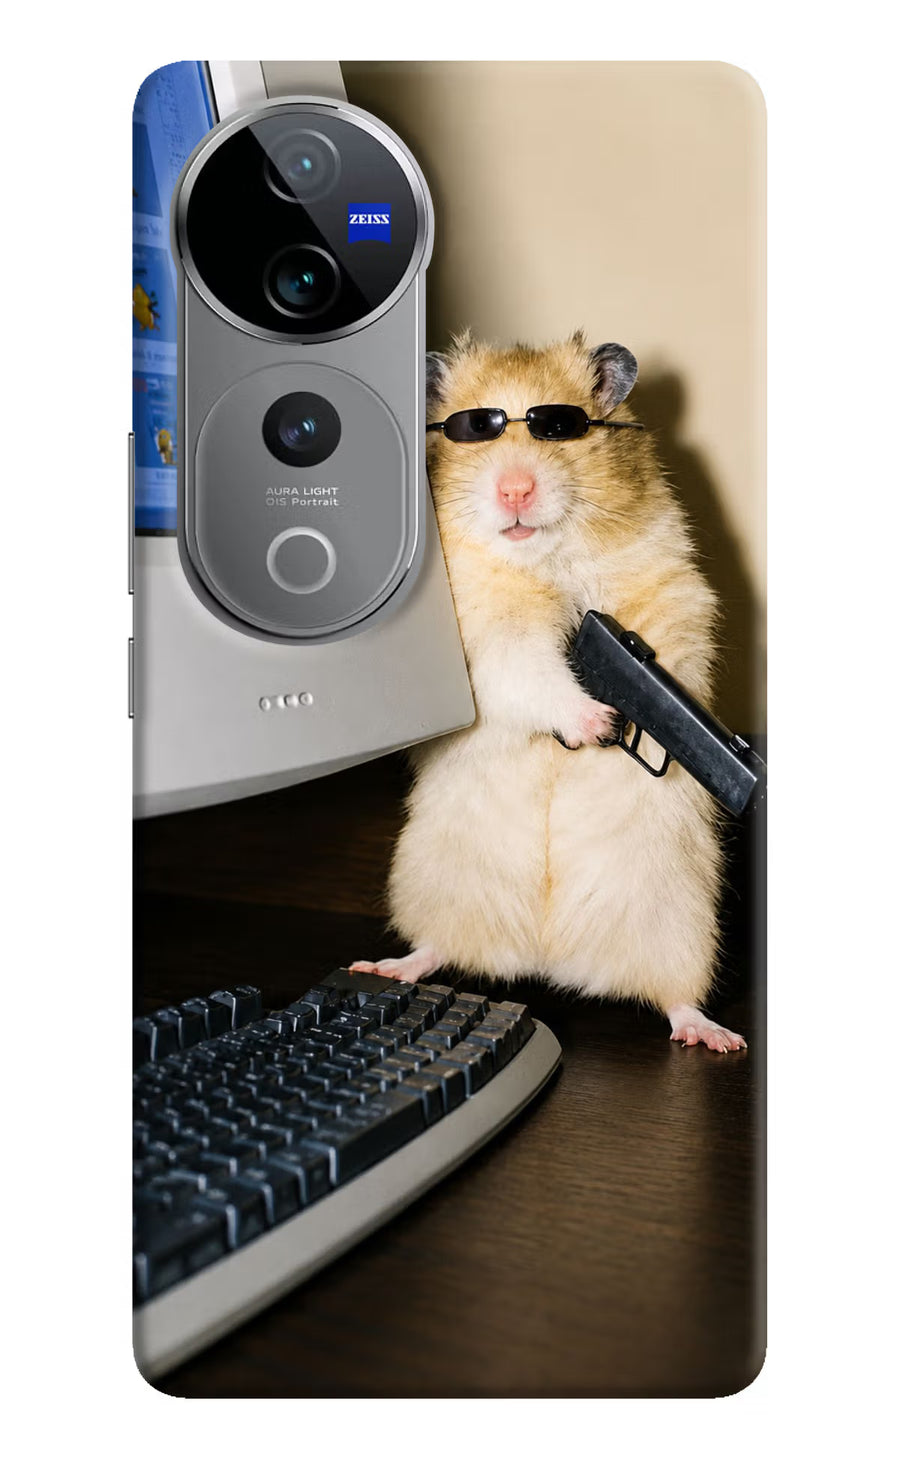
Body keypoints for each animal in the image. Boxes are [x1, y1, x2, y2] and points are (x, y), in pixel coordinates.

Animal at [351, 332, 745, 1052]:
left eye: (560, 427)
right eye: (474, 429)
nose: (514, 489)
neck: (543, 559)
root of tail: (548, 958)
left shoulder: (671, 592)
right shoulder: (488, 640)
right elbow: (530, 671)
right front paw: (598, 723)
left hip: (681, 921)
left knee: (675, 996)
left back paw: (716, 1036)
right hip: (433, 882)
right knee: (436, 947)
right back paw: (386, 966)